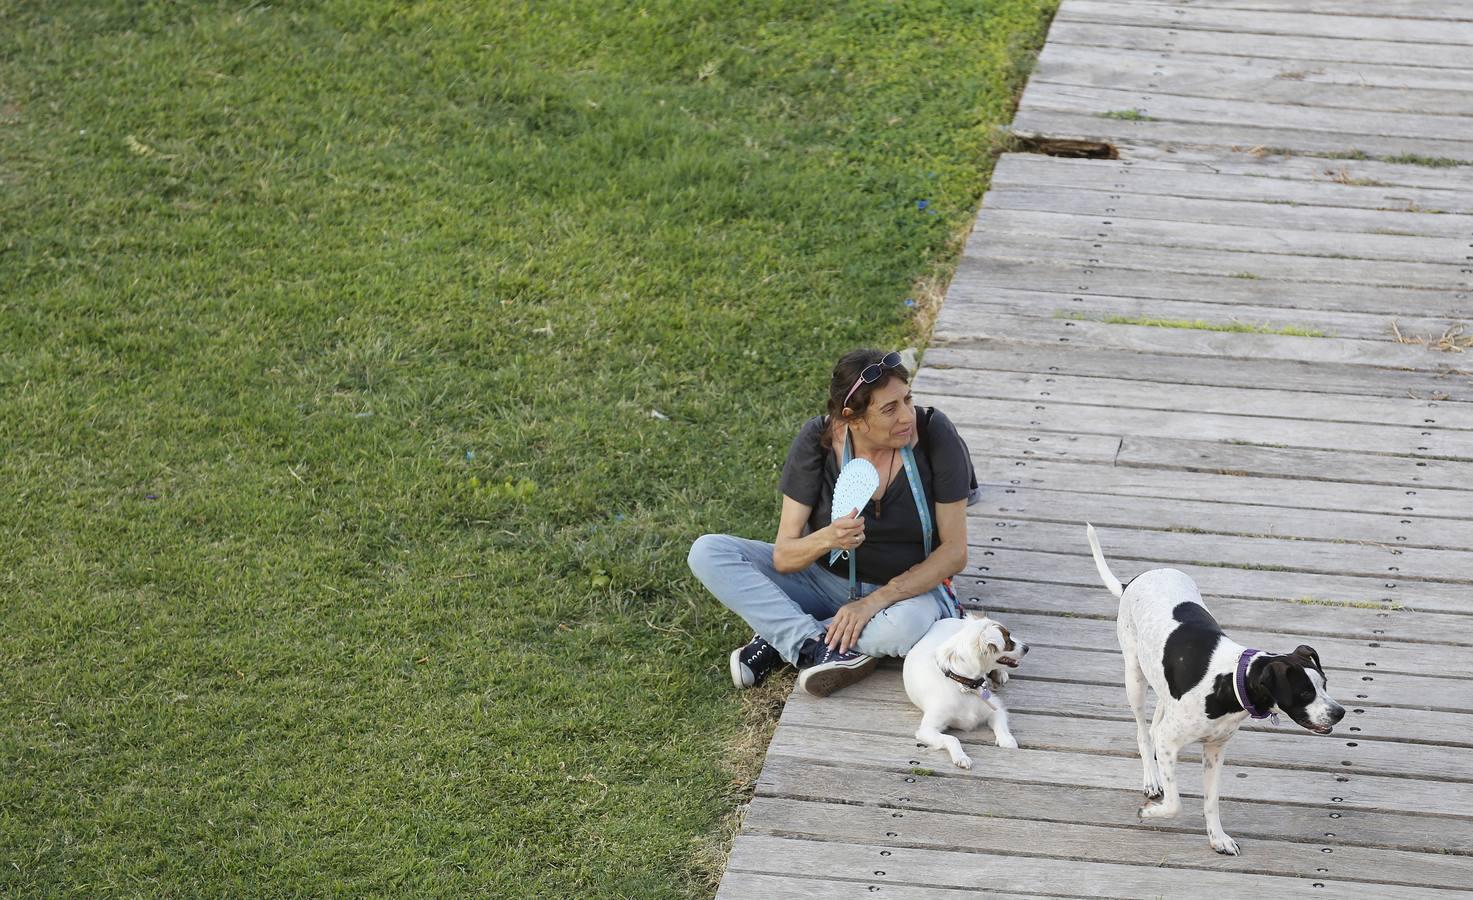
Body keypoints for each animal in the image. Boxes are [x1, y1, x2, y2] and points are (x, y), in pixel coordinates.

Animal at [901, 615, 1031, 771]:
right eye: (1007, 640)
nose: (1027, 647)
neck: (964, 684)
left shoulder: (996, 709)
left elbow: (1002, 727)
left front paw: (1007, 740)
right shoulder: (927, 729)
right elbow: (952, 738)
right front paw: (961, 757)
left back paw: (1000, 674)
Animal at [1084, 524, 1349, 854]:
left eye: (1324, 684)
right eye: (1304, 693)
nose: (1340, 713)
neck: (1230, 681)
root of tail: (1135, 579)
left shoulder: (1214, 749)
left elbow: (1211, 802)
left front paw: (1218, 838)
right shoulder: (1171, 742)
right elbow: (1175, 803)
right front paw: (1150, 811)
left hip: (1160, 683)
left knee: (1156, 721)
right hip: (1134, 677)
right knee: (1144, 733)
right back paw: (1151, 778)